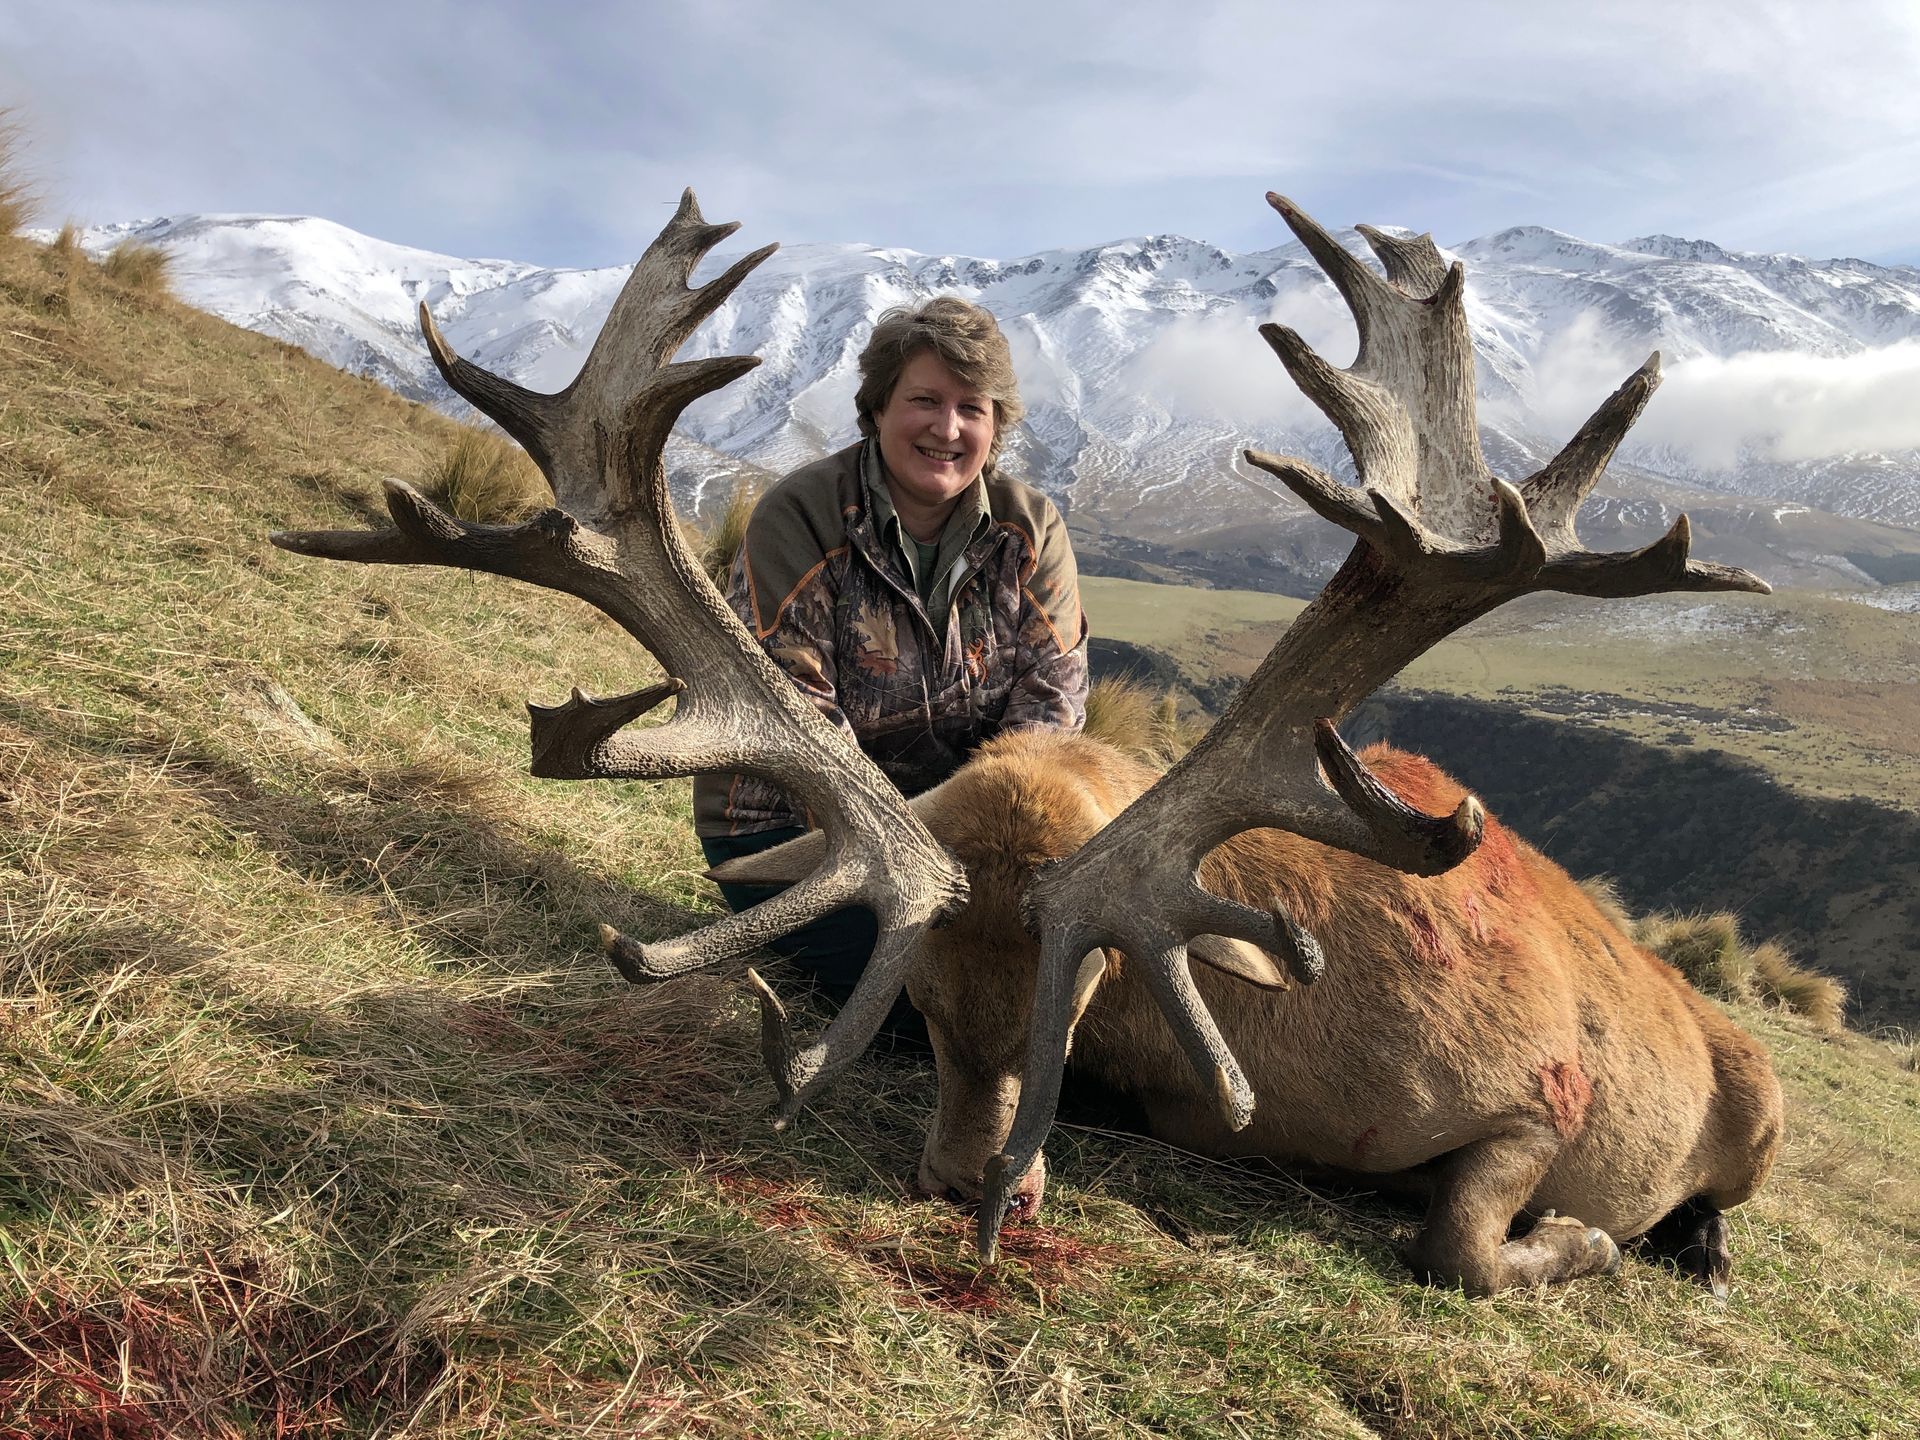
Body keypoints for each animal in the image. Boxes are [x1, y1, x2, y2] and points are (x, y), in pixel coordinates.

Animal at [272, 190, 1783, 1297]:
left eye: (1086, 994)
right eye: (925, 1010)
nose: (963, 1184)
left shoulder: (1541, 1090)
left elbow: (1464, 1241)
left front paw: (1583, 1237)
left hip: (1757, 1094)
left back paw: (1698, 1246)